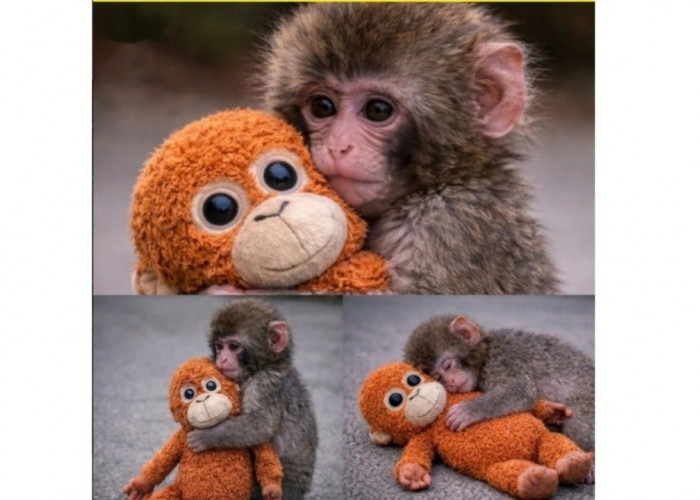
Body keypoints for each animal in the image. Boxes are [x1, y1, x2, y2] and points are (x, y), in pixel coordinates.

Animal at [186, 299, 318, 499]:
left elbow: (260, 425)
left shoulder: (264, 384)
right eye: (219, 346)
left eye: (233, 346)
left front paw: (207, 436)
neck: (261, 368)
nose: (222, 360)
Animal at [403, 315, 594, 465]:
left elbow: (521, 390)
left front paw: (469, 409)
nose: (451, 381)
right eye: (438, 378)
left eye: (448, 365)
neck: (486, 355)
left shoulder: (504, 359)